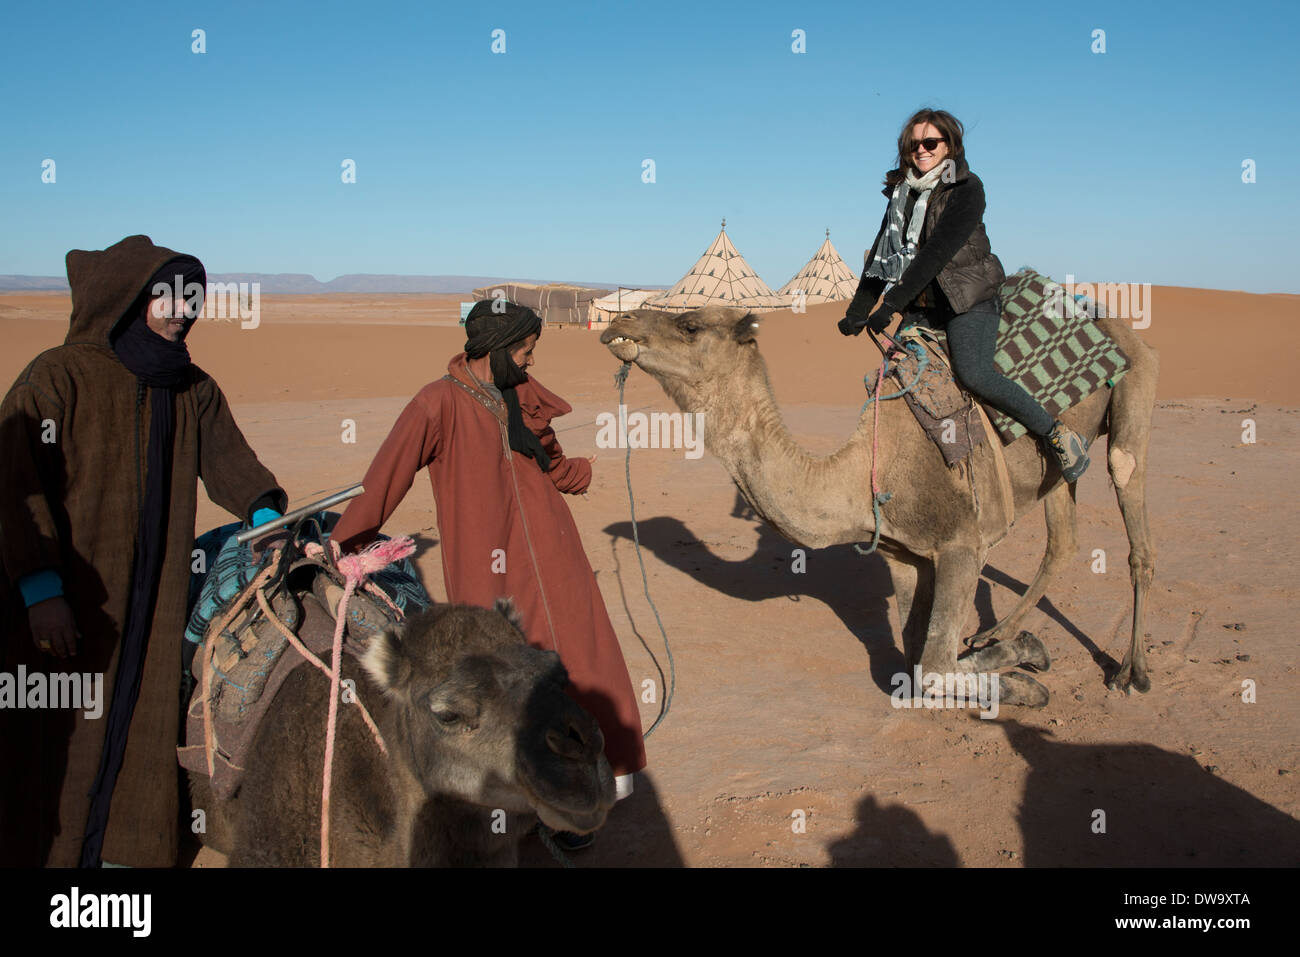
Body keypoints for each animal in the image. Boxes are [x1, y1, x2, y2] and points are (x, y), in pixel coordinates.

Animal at [598, 310, 1159, 707]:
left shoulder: (962, 546)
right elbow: (913, 658)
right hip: (1058, 468)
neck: (864, 472)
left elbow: (933, 669)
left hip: (1135, 392)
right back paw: (996, 632)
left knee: (1132, 510)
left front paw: (1026, 684)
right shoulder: (904, 554)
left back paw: (1130, 672)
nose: (619, 321)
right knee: (1062, 536)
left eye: (689, 324)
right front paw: (1024, 652)